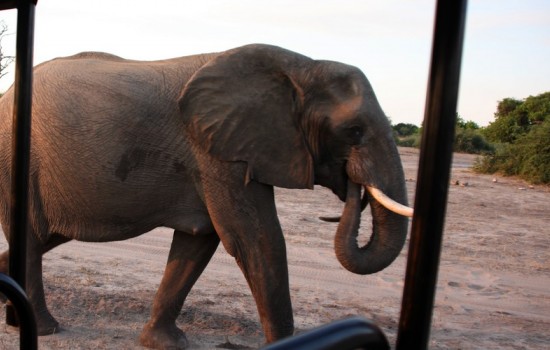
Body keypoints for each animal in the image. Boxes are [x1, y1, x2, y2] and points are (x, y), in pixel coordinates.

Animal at [0, 45, 414, 348]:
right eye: (354, 131)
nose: (352, 187)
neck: (301, 67)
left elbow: (199, 241)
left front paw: (164, 343)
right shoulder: (218, 154)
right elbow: (254, 239)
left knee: (44, 236)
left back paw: (11, 306)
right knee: (32, 239)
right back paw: (43, 328)